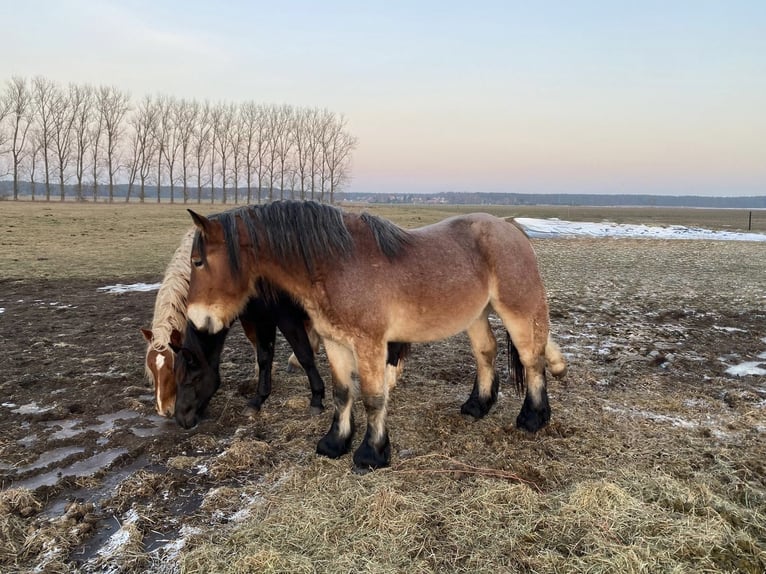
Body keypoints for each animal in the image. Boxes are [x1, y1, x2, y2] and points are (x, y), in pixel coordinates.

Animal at [141, 228, 327, 417]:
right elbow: (260, 349)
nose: (164, 410)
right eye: (151, 368)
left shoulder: (281, 315)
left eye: (173, 368)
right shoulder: (252, 315)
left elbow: (298, 352)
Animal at [181, 200, 567, 471]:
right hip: (476, 315)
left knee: (532, 360)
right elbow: (341, 393)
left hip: (518, 311)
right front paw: (334, 443)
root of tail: (510, 227)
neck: (336, 265)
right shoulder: (335, 342)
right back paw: (477, 406)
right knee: (486, 352)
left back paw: (533, 418)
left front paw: (372, 453)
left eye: (198, 262)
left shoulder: (369, 343)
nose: (197, 319)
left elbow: (372, 397)